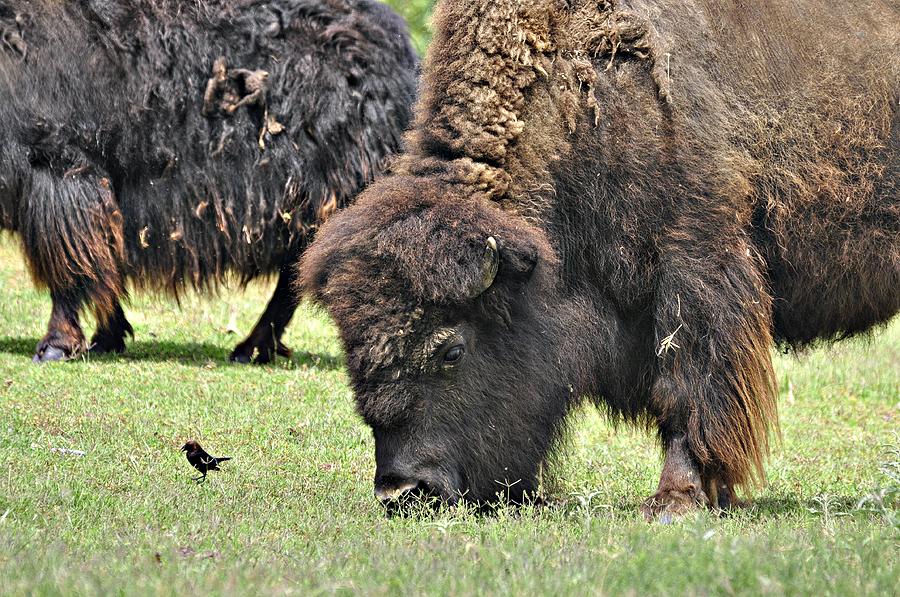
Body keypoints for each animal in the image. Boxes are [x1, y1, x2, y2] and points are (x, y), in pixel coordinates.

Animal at [0, 0, 416, 364]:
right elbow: (102, 266)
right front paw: (107, 338)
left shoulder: (58, 169)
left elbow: (69, 270)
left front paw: (56, 346)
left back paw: (251, 348)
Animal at [302, 0, 900, 516]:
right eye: (352, 352)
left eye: (452, 350)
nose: (404, 491)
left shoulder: (694, 264)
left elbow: (688, 381)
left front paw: (674, 502)